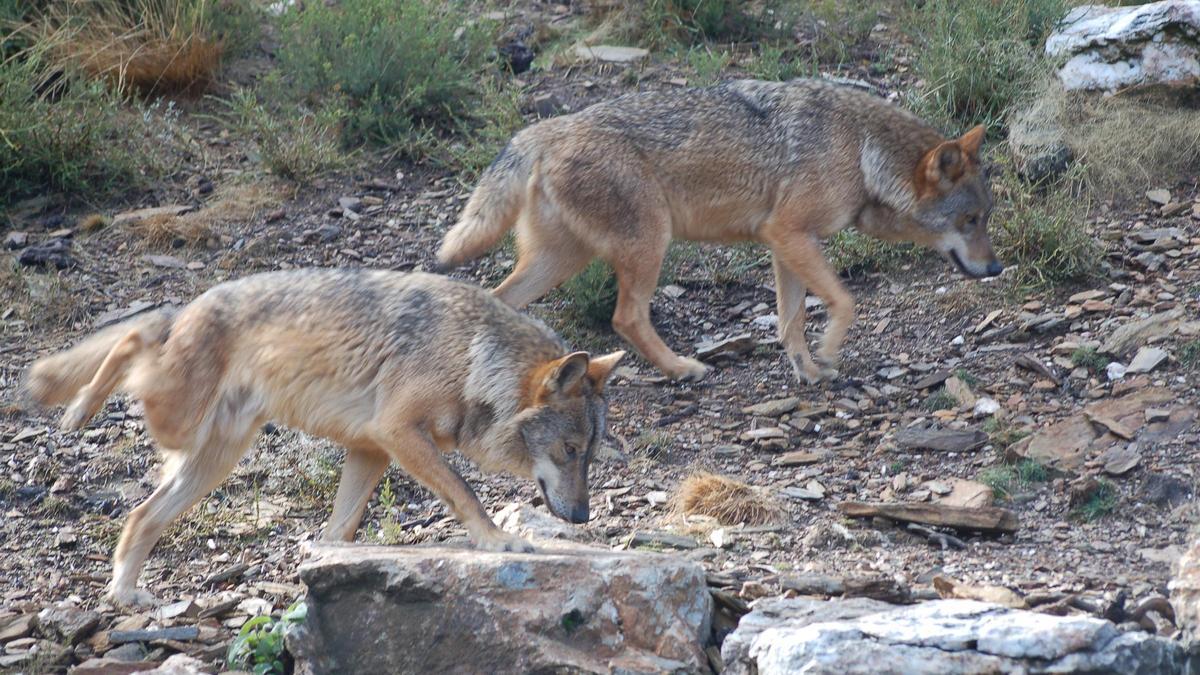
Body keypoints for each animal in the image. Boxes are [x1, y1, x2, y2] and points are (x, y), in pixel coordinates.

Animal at [24, 269, 624, 606]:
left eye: (591, 456)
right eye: (570, 451)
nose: (581, 518)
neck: (473, 358)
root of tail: (194, 304)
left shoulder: (371, 448)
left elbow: (342, 527)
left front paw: (332, 567)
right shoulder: (397, 433)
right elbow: (464, 493)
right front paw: (498, 542)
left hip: (207, 463)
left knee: (139, 516)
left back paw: (124, 594)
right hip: (177, 418)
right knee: (132, 335)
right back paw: (79, 408)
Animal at [436, 78, 1001, 384]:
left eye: (986, 218)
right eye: (970, 221)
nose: (996, 267)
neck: (862, 151)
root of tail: (544, 130)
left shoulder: (784, 244)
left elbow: (790, 321)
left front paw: (808, 372)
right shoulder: (790, 233)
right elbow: (845, 302)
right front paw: (829, 353)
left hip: (561, 260)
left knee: (498, 301)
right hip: (649, 245)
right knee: (625, 317)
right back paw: (681, 369)